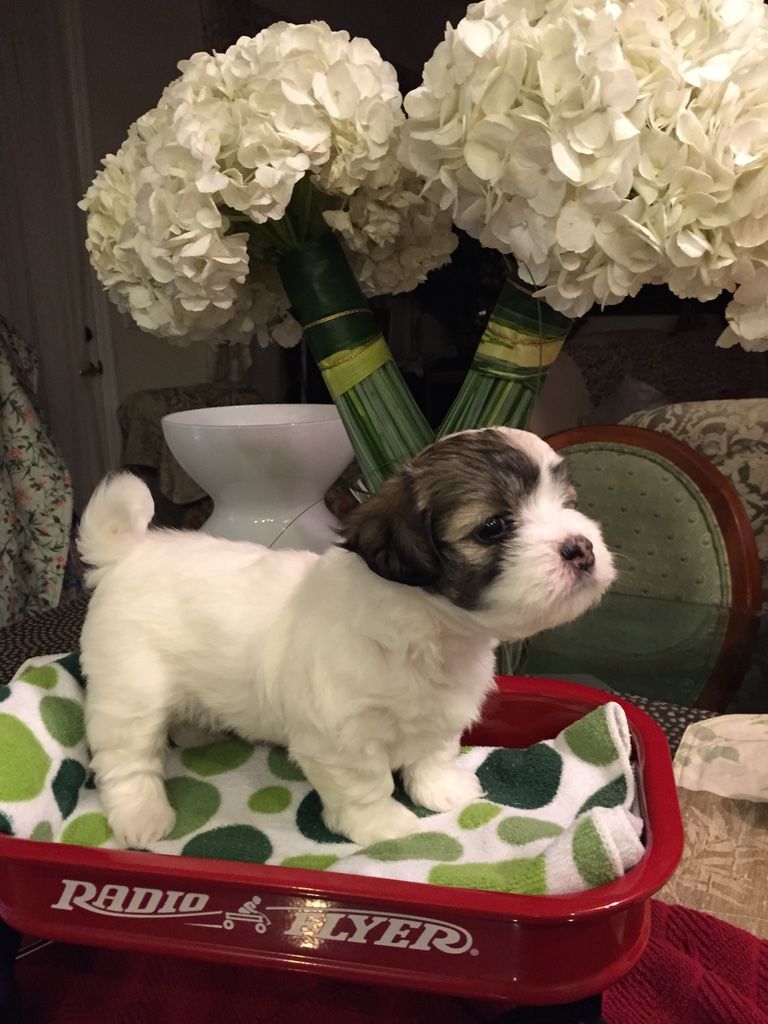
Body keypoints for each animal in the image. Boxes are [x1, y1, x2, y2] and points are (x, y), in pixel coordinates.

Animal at [78, 423, 618, 847]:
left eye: (569, 506)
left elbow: (433, 752)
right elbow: (365, 783)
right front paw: (382, 825)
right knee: (126, 759)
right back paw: (142, 815)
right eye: (493, 527)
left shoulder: (441, 712)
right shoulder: (340, 736)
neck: (430, 631)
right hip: (131, 691)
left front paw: (440, 789)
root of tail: (128, 552)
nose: (581, 547)